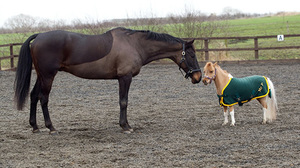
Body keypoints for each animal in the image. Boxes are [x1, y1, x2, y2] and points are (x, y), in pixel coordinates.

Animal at [14, 27, 202, 134]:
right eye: (192, 55)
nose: (198, 77)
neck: (134, 44)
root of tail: (39, 36)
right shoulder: (124, 78)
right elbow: (123, 101)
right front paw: (125, 126)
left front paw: (125, 125)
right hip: (48, 75)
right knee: (43, 98)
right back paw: (50, 127)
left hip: (41, 76)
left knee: (33, 96)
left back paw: (35, 127)